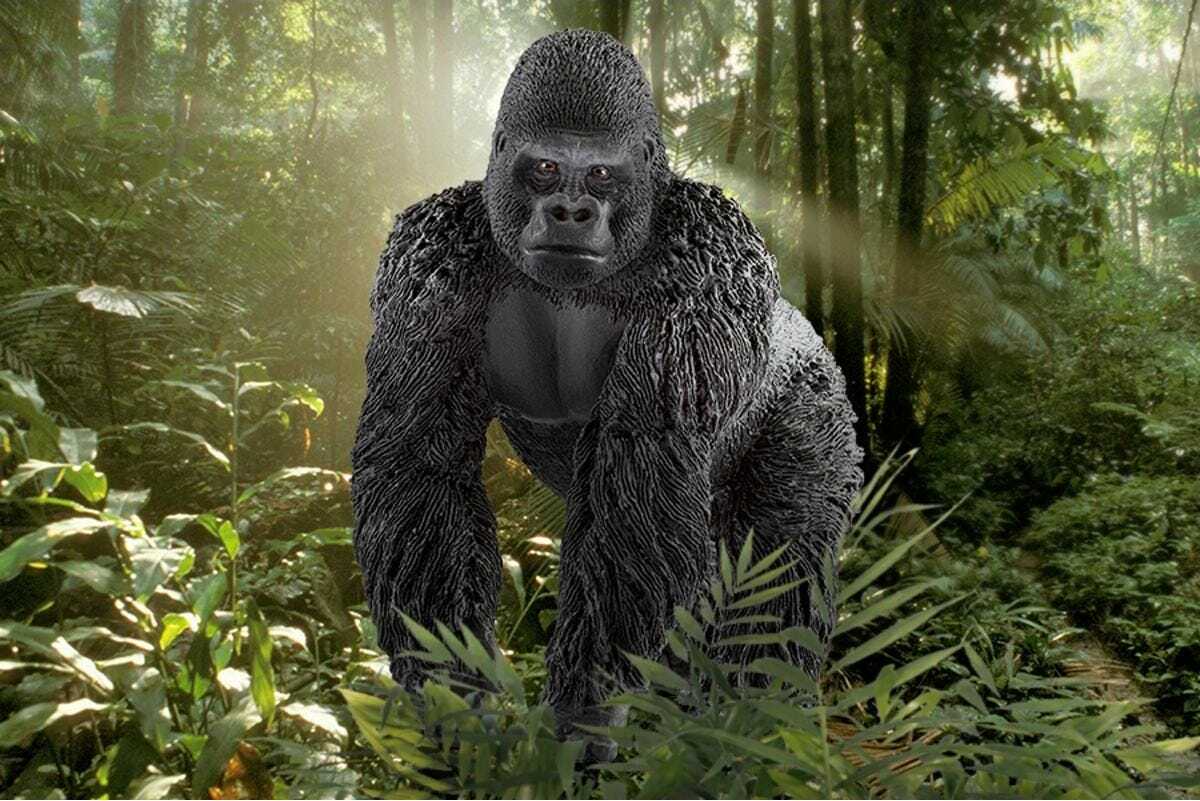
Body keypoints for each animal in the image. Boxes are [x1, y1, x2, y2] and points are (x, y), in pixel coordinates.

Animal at [351, 28, 863, 759]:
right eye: (543, 169)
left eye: (598, 175)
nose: (570, 211)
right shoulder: (426, 254)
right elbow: (419, 464)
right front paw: (455, 691)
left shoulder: (709, 253)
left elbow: (643, 476)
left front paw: (581, 712)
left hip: (815, 401)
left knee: (776, 576)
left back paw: (750, 735)